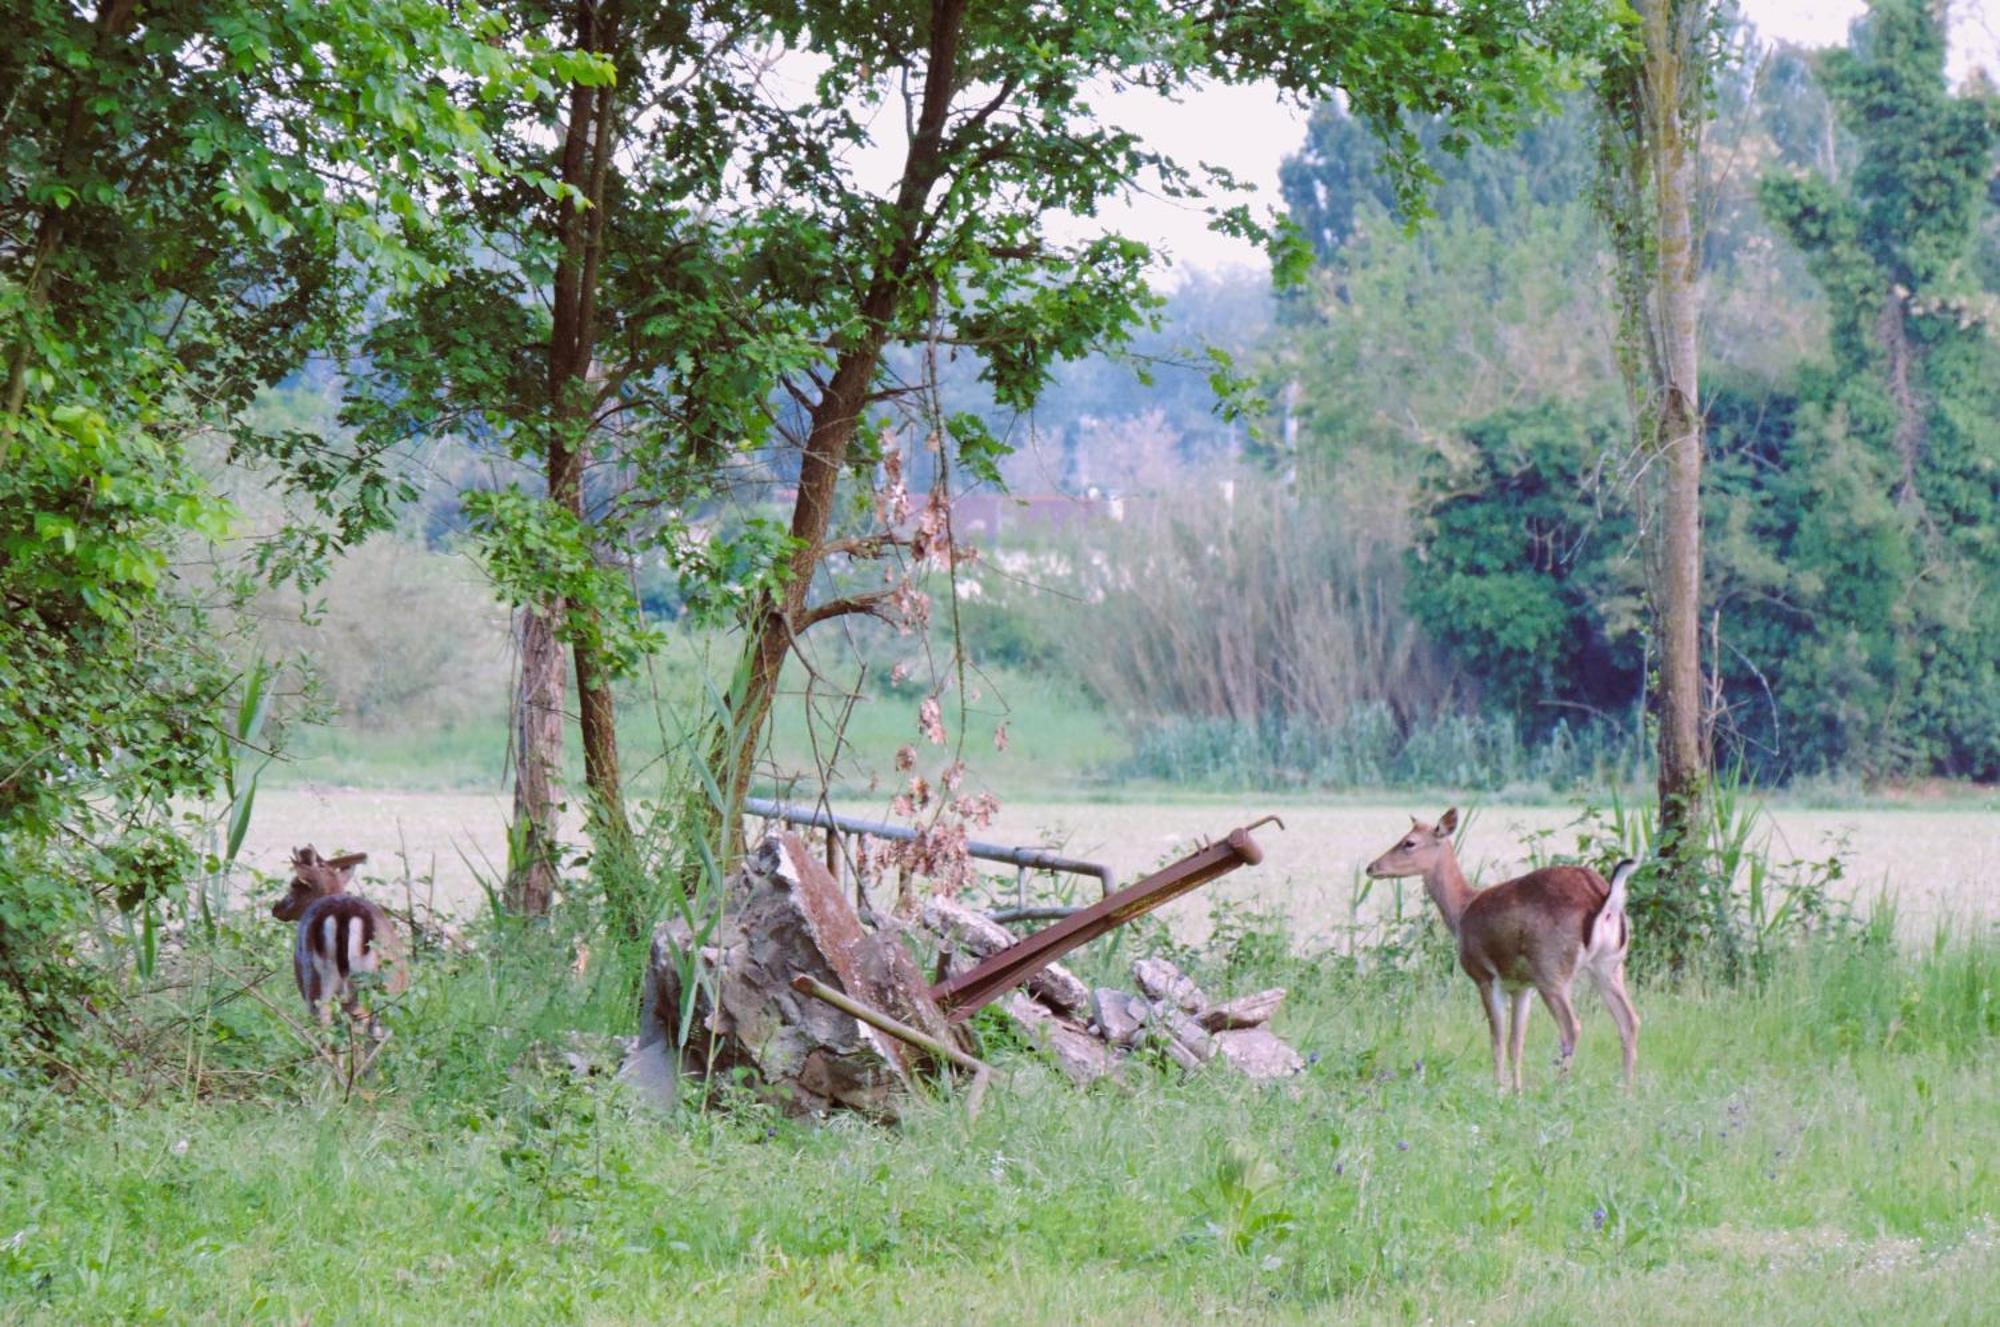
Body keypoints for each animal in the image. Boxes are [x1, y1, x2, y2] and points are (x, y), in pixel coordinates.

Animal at [1360, 807, 1640, 1087]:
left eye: (1409, 842)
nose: (1371, 867)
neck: (1462, 911)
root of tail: (1604, 899)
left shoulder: (1485, 976)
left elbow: (1497, 1039)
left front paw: (1498, 1088)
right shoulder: (1521, 986)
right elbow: (1516, 1042)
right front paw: (1516, 1090)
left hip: (1552, 970)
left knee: (1572, 1027)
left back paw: (1559, 1087)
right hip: (1609, 966)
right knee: (1630, 1021)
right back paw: (1625, 1090)